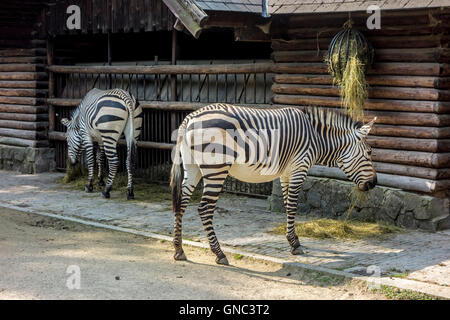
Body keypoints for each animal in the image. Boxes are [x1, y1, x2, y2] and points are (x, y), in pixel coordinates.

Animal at [169, 103, 376, 264]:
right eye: (369, 153)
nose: (373, 183)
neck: (316, 137)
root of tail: (190, 118)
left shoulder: (285, 173)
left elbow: (286, 205)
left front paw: (291, 239)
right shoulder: (299, 167)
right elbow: (292, 206)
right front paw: (295, 245)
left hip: (192, 167)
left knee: (181, 203)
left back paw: (179, 250)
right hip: (216, 169)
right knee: (204, 209)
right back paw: (219, 254)